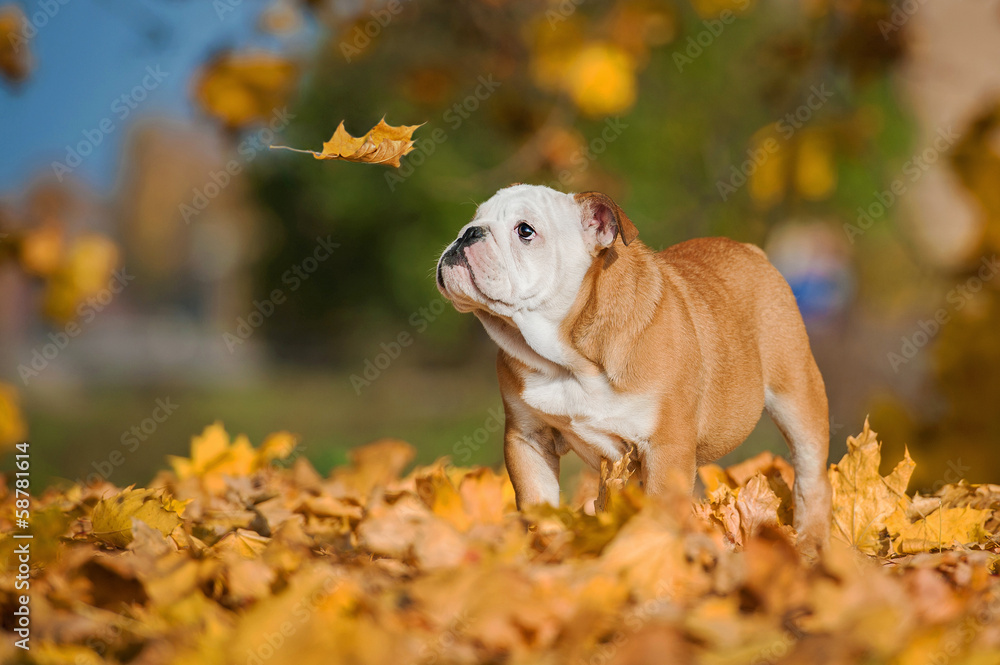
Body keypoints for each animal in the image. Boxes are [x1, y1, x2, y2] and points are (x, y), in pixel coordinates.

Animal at [434, 184, 832, 552]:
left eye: (525, 231)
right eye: (475, 218)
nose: (468, 232)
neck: (570, 358)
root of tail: (751, 250)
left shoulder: (666, 447)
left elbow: (661, 512)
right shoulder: (528, 438)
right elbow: (538, 506)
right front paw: (544, 552)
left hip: (796, 393)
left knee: (810, 474)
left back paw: (810, 542)